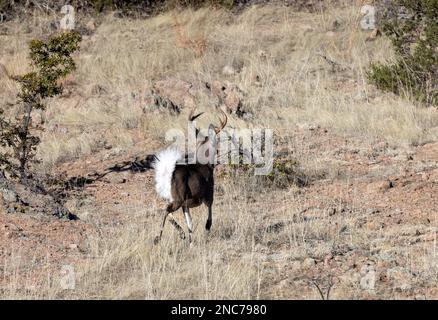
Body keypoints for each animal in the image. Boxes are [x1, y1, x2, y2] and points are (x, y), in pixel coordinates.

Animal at [151, 107, 228, 245]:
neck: (204, 163)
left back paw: (181, 234)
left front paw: (191, 242)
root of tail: (166, 172)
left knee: (164, 210)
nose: (219, 153)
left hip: (172, 199)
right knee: (165, 210)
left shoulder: (186, 205)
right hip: (178, 199)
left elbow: (190, 223)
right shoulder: (209, 193)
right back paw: (157, 238)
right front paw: (207, 227)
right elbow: (209, 213)